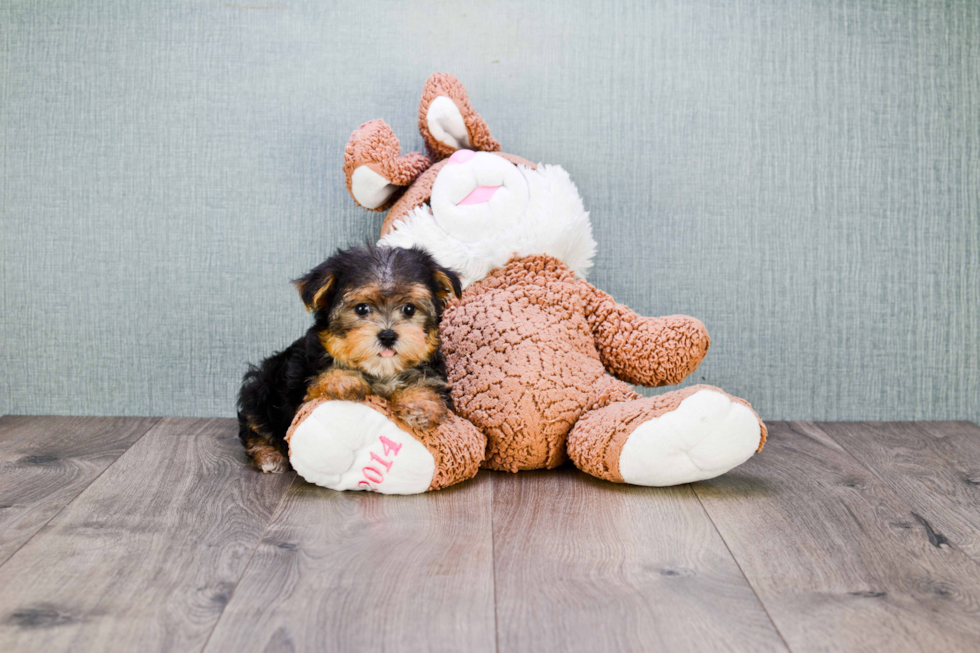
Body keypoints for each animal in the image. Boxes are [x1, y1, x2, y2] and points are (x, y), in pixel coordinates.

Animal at [239, 247, 466, 472]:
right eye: (361, 309)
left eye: (409, 309)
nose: (388, 335)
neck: (380, 371)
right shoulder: (299, 388)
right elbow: (317, 383)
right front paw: (343, 380)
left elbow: (426, 382)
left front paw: (419, 404)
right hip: (262, 391)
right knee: (255, 427)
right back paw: (268, 456)